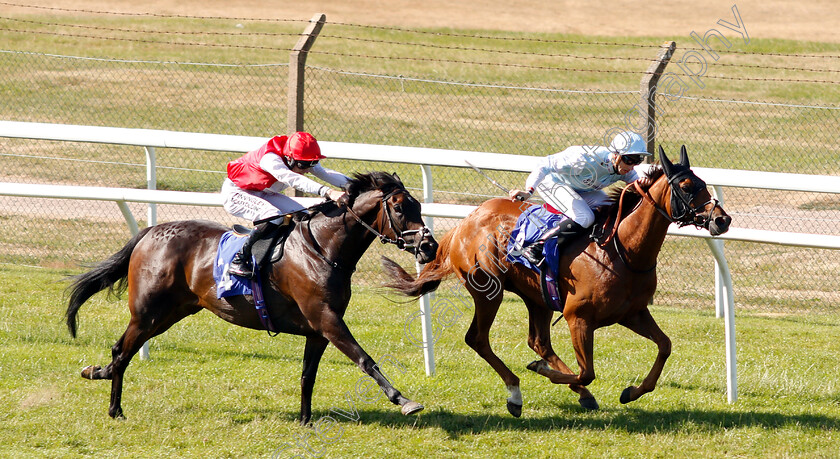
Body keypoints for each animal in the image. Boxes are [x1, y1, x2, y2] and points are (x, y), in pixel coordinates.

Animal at [64, 172, 440, 424]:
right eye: (399, 208)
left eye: (418, 205)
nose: (429, 246)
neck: (322, 248)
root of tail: (150, 231)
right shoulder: (326, 318)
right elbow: (365, 359)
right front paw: (403, 399)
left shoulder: (318, 329)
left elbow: (308, 375)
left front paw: (305, 420)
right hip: (147, 312)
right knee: (122, 351)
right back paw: (114, 407)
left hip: (172, 312)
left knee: (122, 351)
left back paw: (97, 372)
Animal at [380, 146, 728, 416]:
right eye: (687, 185)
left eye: (704, 183)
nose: (722, 219)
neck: (623, 250)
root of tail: (468, 219)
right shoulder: (578, 317)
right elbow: (587, 372)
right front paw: (544, 372)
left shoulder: (633, 313)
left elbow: (665, 346)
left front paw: (631, 391)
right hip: (488, 290)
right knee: (478, 339)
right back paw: (516, 393)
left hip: (538, 297)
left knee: (539, 341)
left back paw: (573, 392)